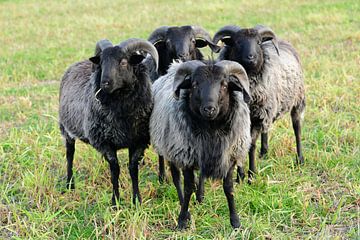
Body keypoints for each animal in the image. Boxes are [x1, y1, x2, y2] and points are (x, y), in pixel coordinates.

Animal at [58, 38, 158, 205]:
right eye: (102, 62)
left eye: (123, 62)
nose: (104, 83)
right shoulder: (105, 142)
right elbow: (115, 170)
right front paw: (115, 201)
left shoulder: (138, 140)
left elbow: (133, 169)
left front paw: (136, 200)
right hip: (66, 129)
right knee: (69, 155)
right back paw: (70, 184)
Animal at [150, 59, 252, 229]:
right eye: (195, 84)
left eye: (224, 84)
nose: (209, 109)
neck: (211, 130)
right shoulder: (185, 156)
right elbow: (188, 187)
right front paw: (182, 220)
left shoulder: (229, 156)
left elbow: (228, 188)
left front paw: (235, 221)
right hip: (171, 148)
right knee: (177, 178)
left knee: (202, 175)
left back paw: (200, 196)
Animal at [214, 24, 306, 182]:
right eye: (237, 42)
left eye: (258, 42)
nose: (251, 57)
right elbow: (239, 145)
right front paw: (240, 176)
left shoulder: (257, 118)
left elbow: (251, 145)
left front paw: (251, 175)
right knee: (266, 129)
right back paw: (264, 152)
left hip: (297, 101)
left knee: (297, 130)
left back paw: (299, 159)